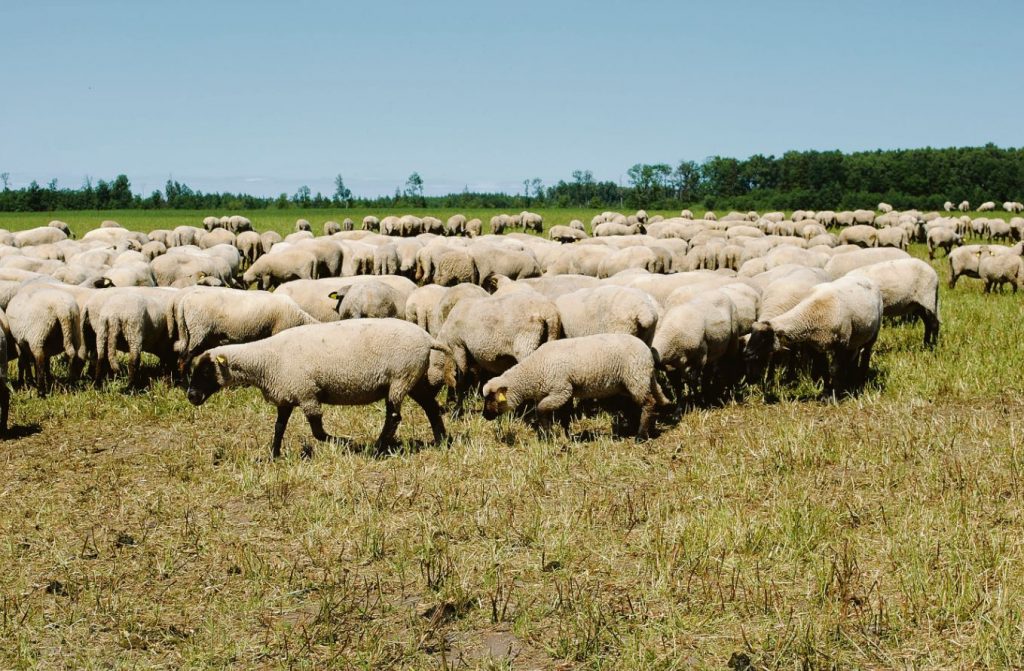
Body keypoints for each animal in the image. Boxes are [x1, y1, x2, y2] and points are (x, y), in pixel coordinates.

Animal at [190, 319, 446, 456]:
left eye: (206, 371)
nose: (191, 396)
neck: (266, 360)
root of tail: (427, 339)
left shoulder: (307, 394)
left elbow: (318, 432)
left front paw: (346, 442)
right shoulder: (287, 393)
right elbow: (279, 427)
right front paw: (274, 455)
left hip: (400, 377)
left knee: (393, 416)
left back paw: (377, 448)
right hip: (414, 379)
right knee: (431, 407)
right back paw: (442, 441)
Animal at [741, 276, 884, 395]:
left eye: (765, 337)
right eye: (753, 334)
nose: (747, 353)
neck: (811, 312)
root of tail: (866, 278)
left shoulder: (841, 342)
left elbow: (835, 369)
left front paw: (835, 394)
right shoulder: (817, 345)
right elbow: (824, 368)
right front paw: (826, 391)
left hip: (873, 333)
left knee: (866, 354)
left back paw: (861, 379)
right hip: (856, 335)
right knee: (854, 354)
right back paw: (852, 378)